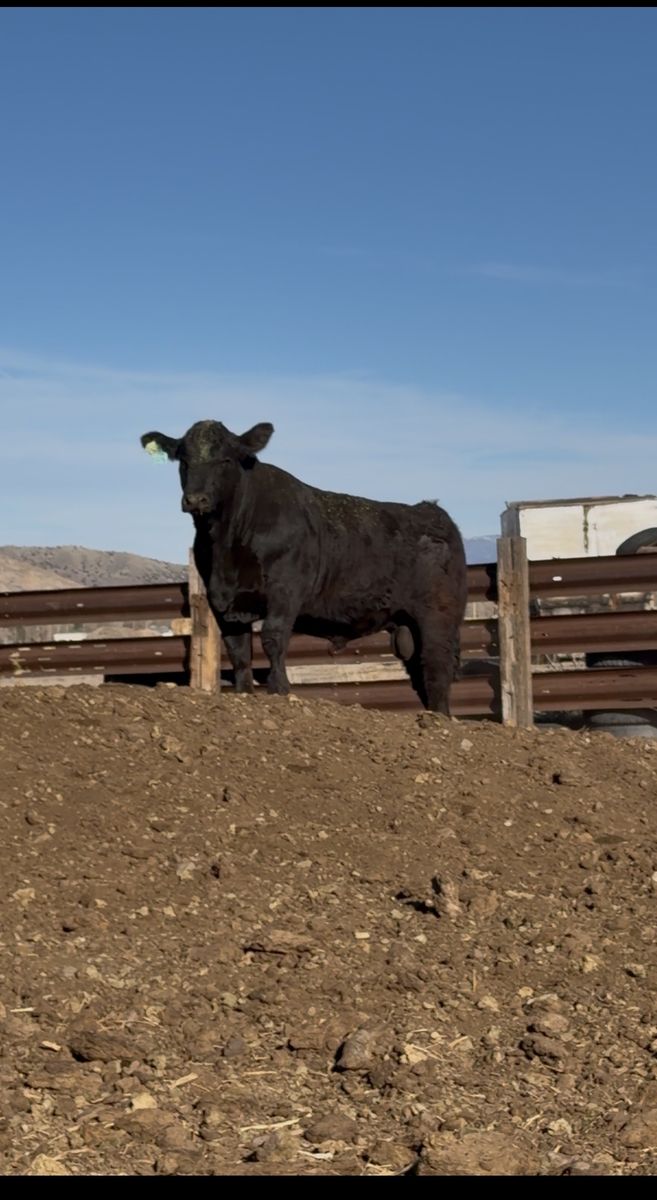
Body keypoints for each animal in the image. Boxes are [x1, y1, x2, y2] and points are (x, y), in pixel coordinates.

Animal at [141, 420, 468, 713]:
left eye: (225, 459)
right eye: (184, 460)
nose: (196, 499)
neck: (227, 544)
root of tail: (432, 511)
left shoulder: (285, 591)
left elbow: (273, 638)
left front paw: (280, 689)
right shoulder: (223, 601)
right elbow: (238, 651)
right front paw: (244, 692)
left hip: (438, 618)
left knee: (436, 666)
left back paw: (439, 718)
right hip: (405, 627)